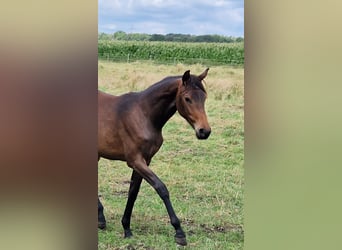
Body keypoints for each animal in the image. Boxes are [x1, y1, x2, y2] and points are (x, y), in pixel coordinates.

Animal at [97, 68, 211, 246]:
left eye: (204, 98)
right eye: (187, 99)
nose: (204, 131)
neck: (144, 114)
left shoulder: (145, 161)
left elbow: (133, 192)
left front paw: (126, 228)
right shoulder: (135, 160)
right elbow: (161, 188)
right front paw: (179, 232)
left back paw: (100, 218)